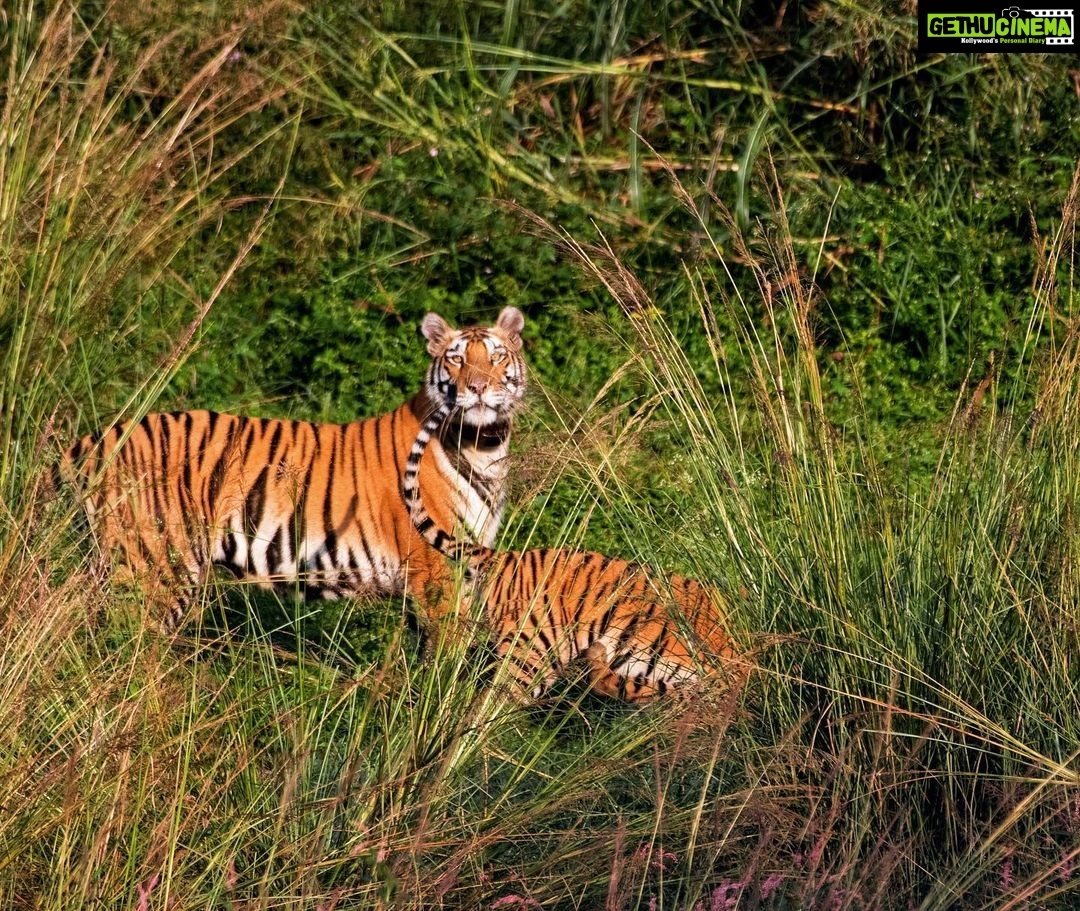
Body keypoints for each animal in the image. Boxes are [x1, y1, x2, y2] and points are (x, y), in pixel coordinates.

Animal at [62, 307, 527, 631]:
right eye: (456, 360)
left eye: (496, 356)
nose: (478, 387)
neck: (483, 446)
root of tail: (95, 439)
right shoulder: (436, 572)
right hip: (152, 564)